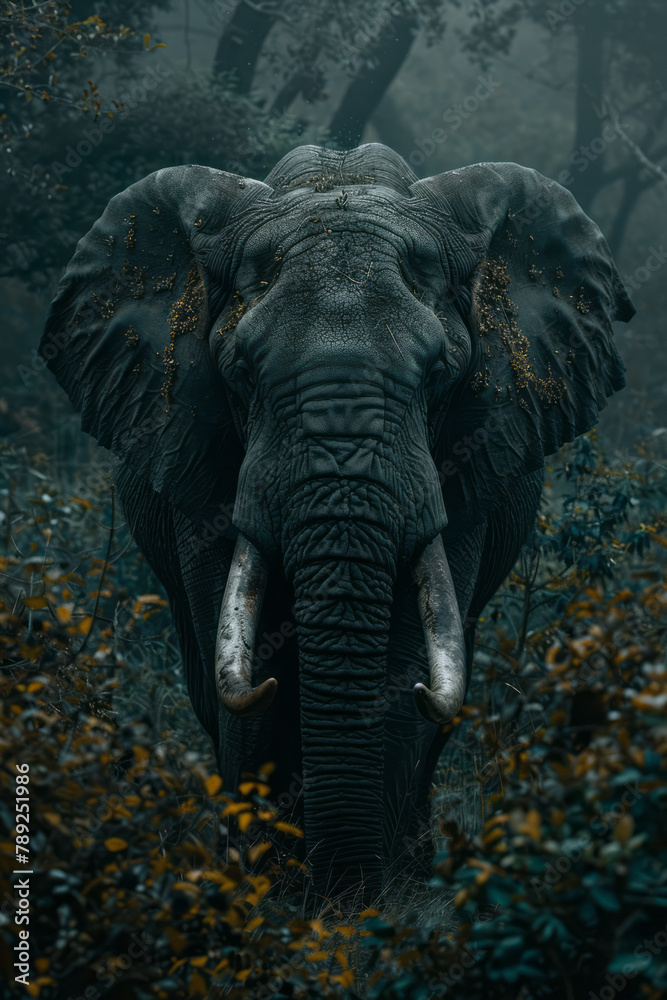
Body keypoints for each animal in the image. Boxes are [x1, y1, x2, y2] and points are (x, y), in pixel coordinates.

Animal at [40, 142, 634, 905]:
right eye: (241, 373)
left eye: (439, 374)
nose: (341, 888)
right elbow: (248, 659)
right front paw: (264, 889)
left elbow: (410, 655)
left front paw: (374, 899)